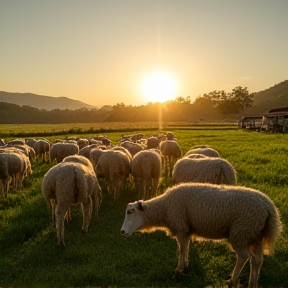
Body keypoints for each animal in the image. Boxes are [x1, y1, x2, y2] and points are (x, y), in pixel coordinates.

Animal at [120, 182, 282, 288]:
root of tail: (270, 208)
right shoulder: (186, 229)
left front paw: (179, 270)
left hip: (242, 232)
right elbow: (185, 248)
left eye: (130, 212)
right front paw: (185, 267)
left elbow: (182, 249)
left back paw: (233, 281)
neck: (164, 208)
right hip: (256, 235)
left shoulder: (181, 226)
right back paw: (252, 283)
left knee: (244, 256)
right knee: (257, 260)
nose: (122, 232)